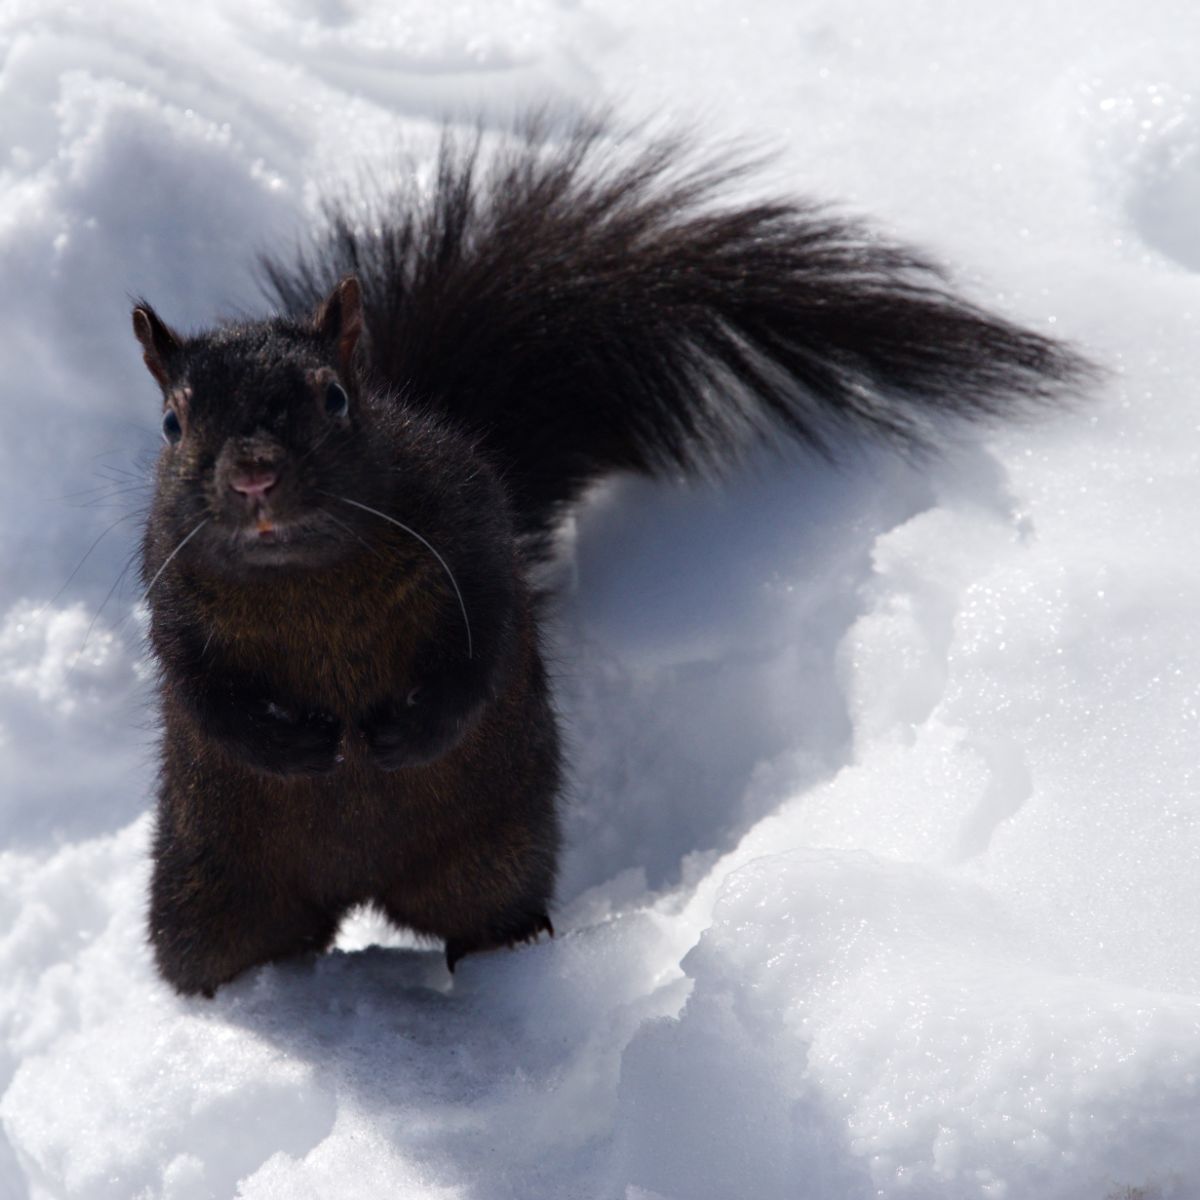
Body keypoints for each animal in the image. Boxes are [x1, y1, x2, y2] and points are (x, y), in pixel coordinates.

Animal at [131, 117, 1089, 998]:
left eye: (333, 398)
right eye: (173, 421)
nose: (255, 475)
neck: (306, 581)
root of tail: (362, 890)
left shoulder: (469, 528)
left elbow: (484, 644)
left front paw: (407, 730)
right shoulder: (167, 587)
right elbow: (200, 685)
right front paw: (294, 744)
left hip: (494, 851)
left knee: (482, 911)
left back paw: (508, 954)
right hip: (209, 885)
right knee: (216, 945)